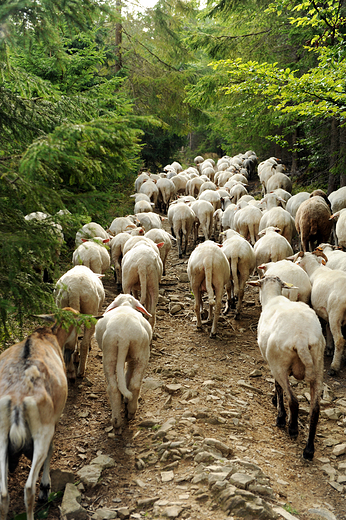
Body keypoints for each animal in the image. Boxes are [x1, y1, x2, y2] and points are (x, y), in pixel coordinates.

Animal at [0, 306, 82, 516]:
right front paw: (46, 487)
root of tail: (18, 400)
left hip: (1, 437)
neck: (46, 335)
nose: (75, 345)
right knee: (28, 489)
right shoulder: (54, 420)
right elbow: (52, 449)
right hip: (42, 432)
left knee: (3, 495)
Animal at [96, 294, 153, 432]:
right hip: (141, 353)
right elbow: (128, 374)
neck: (126, 305)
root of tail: (123, 337)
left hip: (110, 352)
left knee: (114, 388)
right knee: (135, 384)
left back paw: (116, 421)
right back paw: (131, 412)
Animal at [249, 274, 324, 462]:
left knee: (294, 400)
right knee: (315, 410)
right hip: (318, 364)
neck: (273, 298)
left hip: (280, 363)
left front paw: (277, 406)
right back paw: (309, 450)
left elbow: (277, 386)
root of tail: (301, 338)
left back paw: (290, 427)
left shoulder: (272, 363)